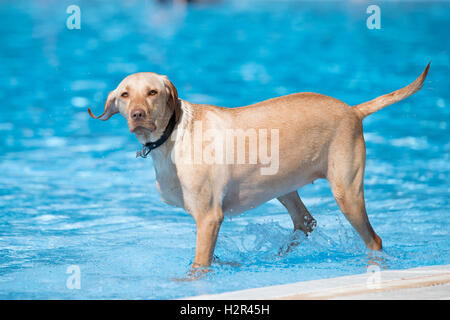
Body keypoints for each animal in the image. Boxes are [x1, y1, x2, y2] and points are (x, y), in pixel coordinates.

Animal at [88, 63, 428, 272]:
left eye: (153, 92)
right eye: (124, 94)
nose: (137, 115)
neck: (173, 135)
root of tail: (354, 110)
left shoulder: (208, 218)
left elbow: (199, 266)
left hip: (347, 192)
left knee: (374, 240)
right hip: (284, 186)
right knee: (305, 222)